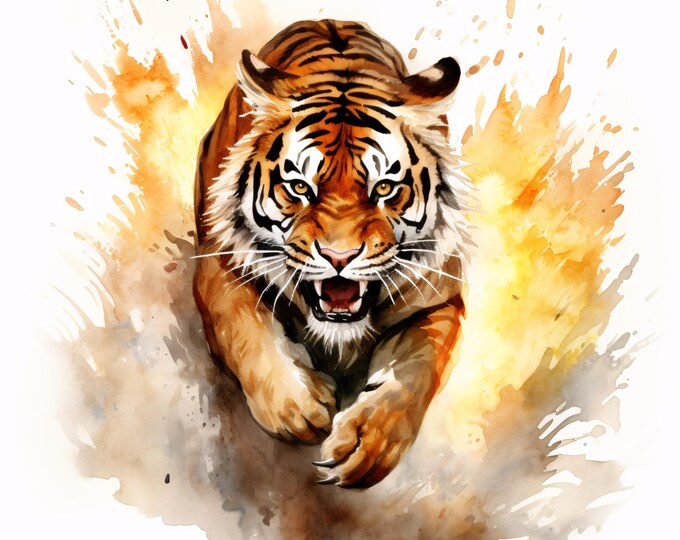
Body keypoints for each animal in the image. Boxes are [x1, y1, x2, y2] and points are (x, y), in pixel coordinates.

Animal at [193, 19, 471, 488]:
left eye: (384, 188)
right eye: (299, 187)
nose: (339, 257)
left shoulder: (439, 298)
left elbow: (417, 371)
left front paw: (366, 444)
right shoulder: (219, 265)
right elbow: (243, 328)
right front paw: (296, 407)